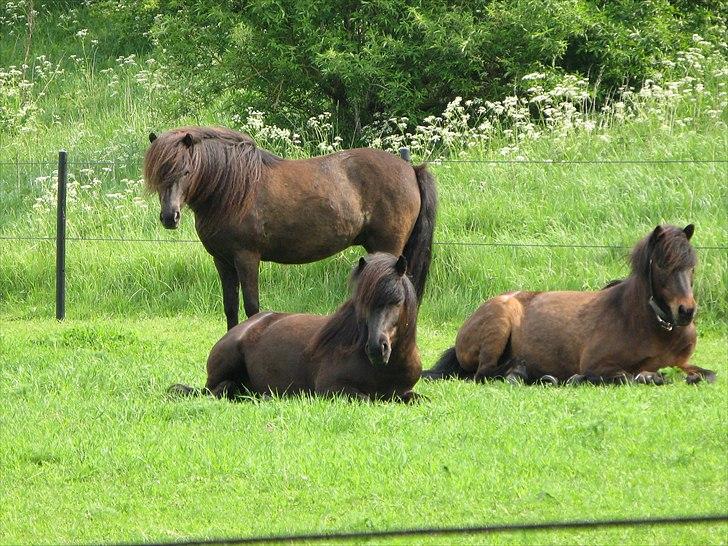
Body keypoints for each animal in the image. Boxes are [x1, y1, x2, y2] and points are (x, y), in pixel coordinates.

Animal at [145, 126, 436, 328]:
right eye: (158, 173)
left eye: (185, 171)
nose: (170, 217)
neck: (233, 189)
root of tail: (411, 169)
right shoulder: (222, 260)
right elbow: (230, 306)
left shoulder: (246, 258)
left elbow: (252, 307)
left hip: (389, 247)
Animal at [169, 252, 420, 400]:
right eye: (362, 303)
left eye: (397, 301)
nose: (376, 349)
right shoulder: (331, 389)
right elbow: (366, 398)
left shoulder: (404, 392)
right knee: (218, 390)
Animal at [424, 223, 712, 384]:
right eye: (662, 264)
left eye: (692, 266)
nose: (686, 311)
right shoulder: (597, 365)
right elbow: (629, 377)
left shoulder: (683, 362)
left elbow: (706, 375)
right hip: (499, 325)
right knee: (484, 373)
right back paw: (523, 373)